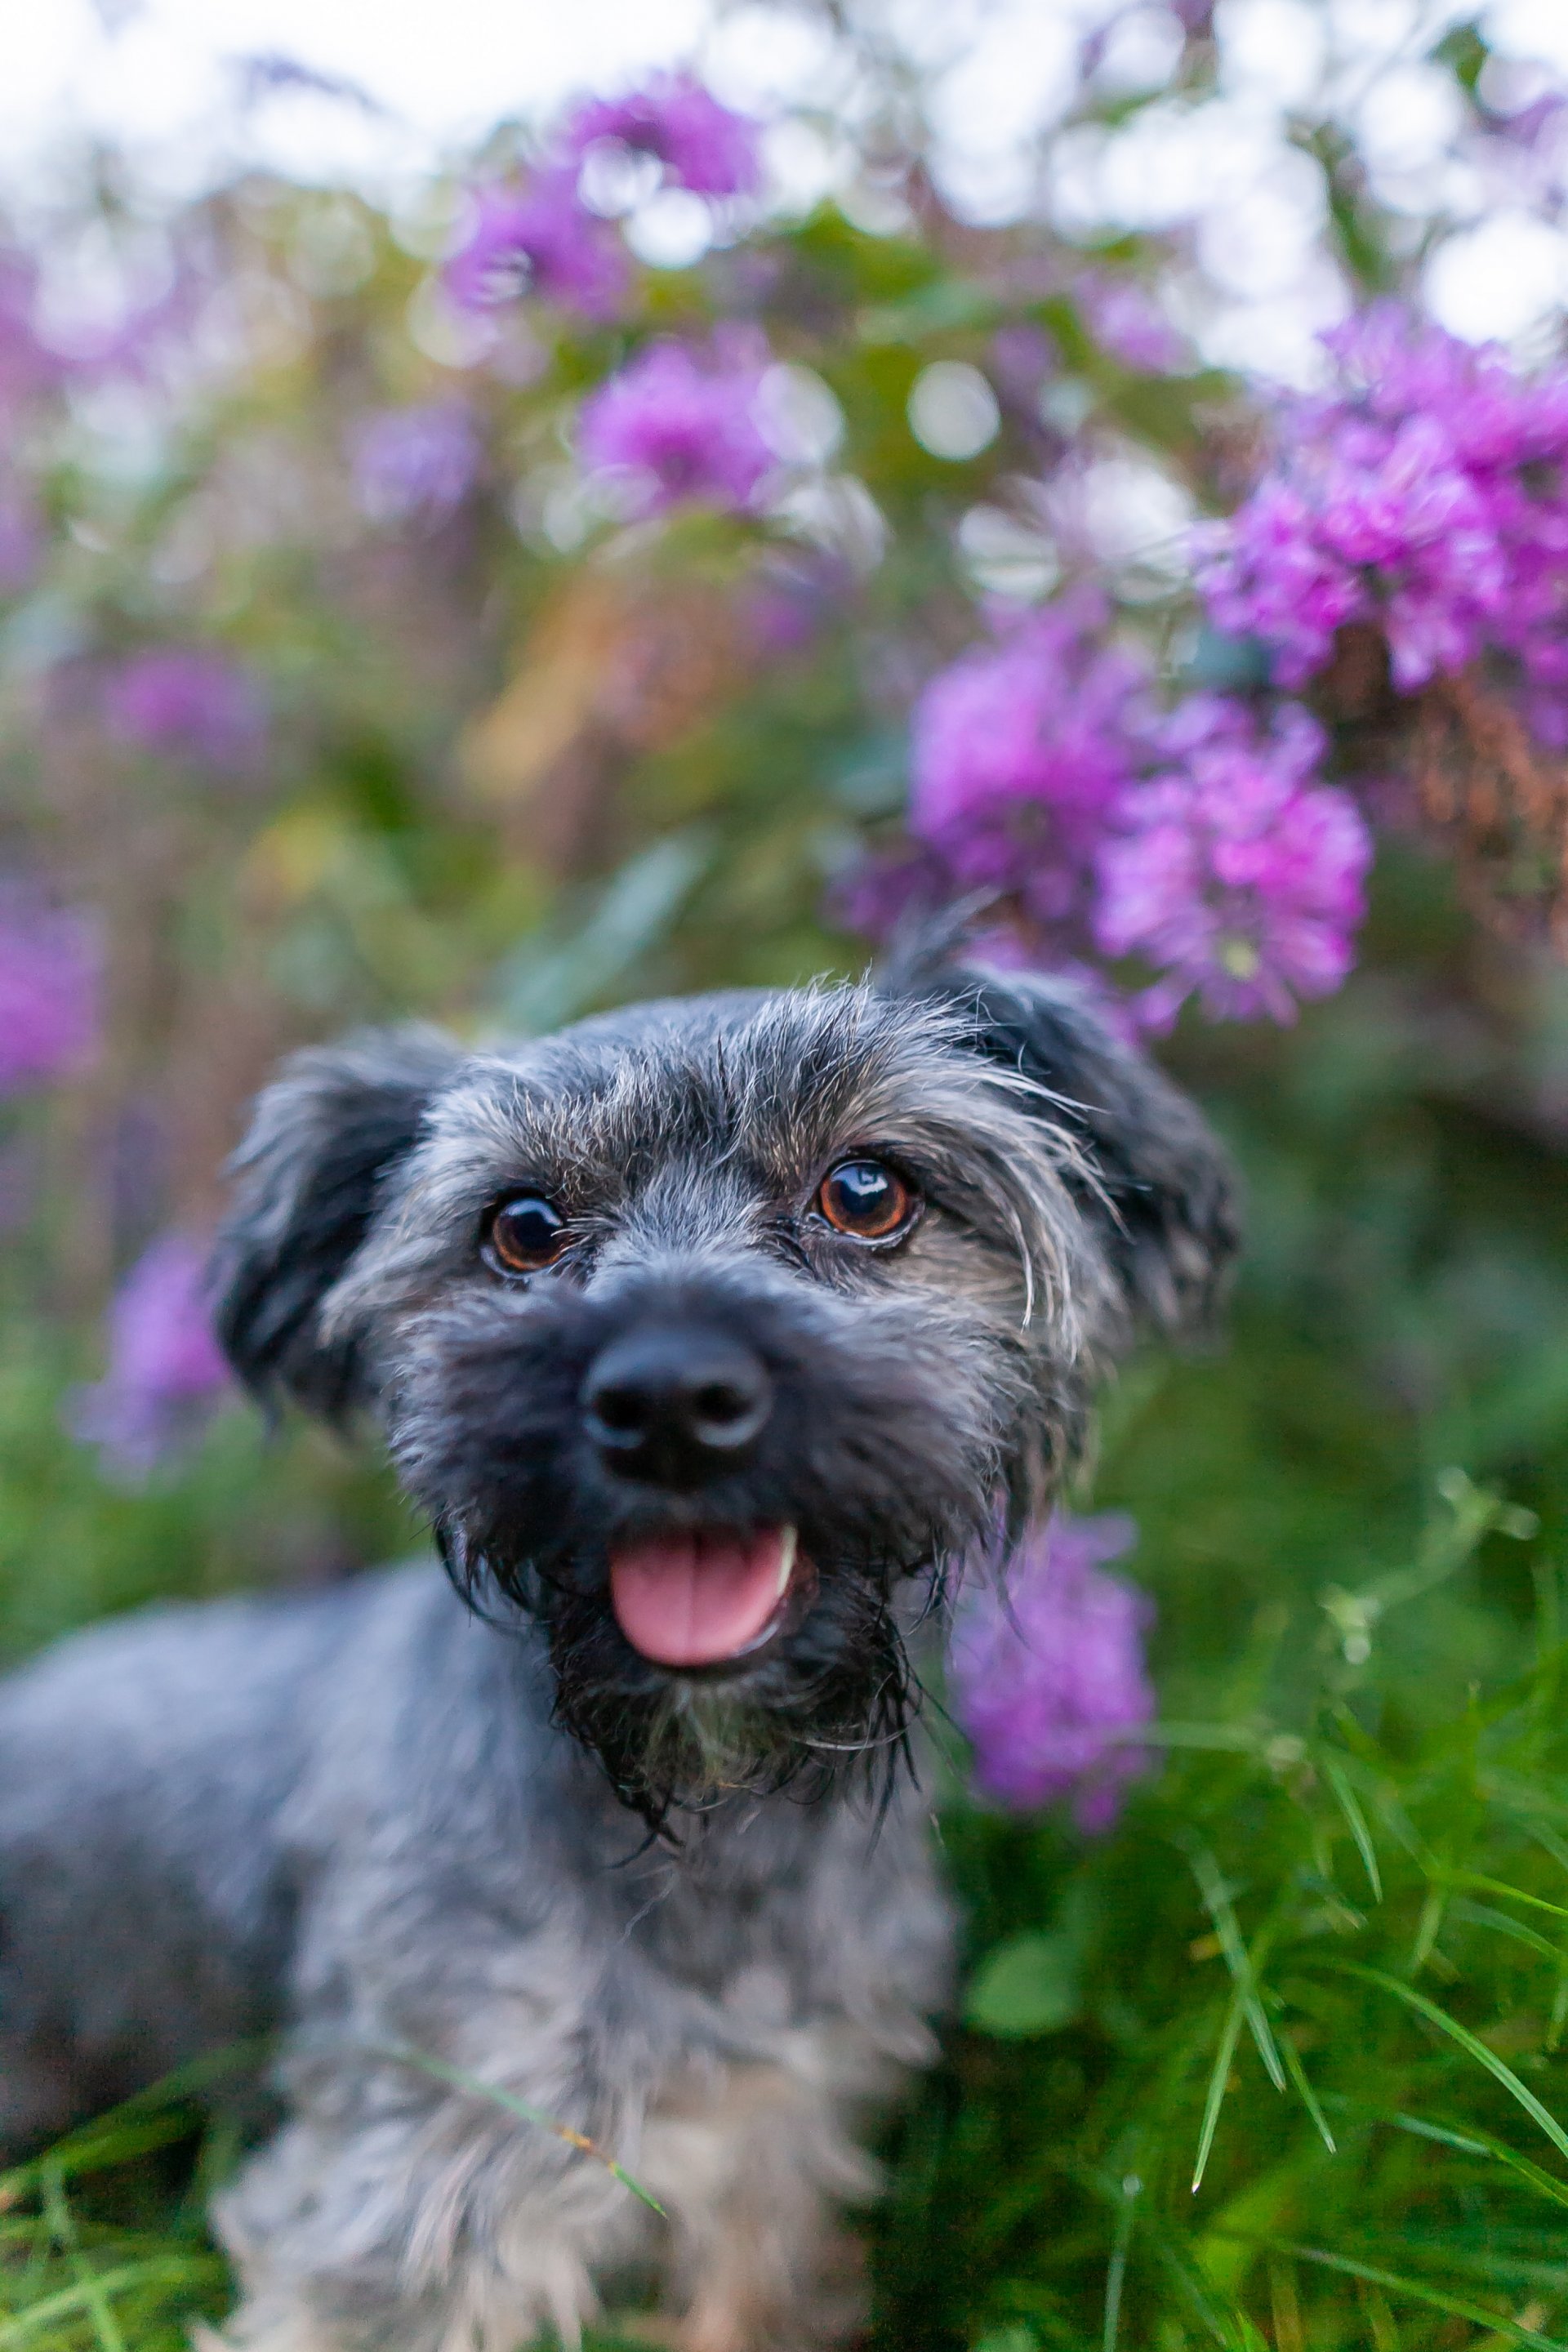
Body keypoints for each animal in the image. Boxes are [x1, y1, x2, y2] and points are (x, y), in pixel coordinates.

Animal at [0, 955, 1241, 2352]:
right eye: (524, 1227)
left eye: (867, 1192)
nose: (668, 1397)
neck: (704, 1828)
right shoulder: (429, 2166)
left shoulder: (772, 2148)